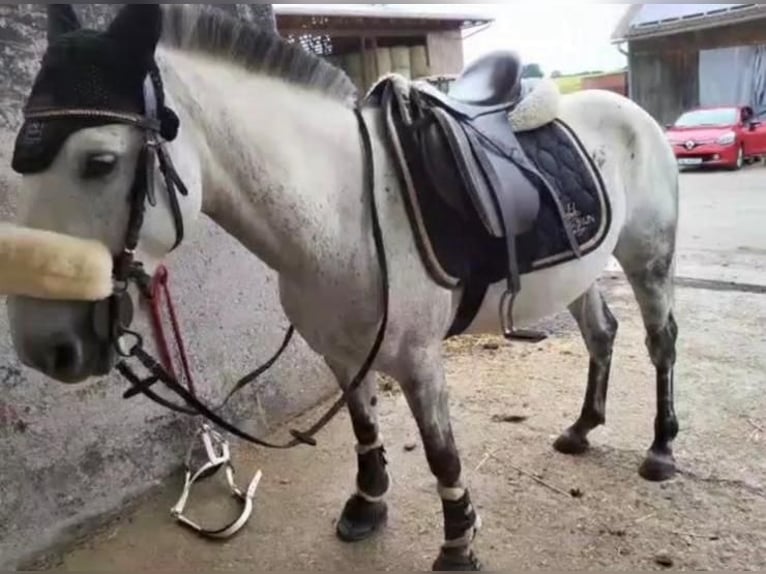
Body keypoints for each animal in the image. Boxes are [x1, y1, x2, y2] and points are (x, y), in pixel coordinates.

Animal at [3, 5, 680, 571]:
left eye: (99, 162)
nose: (44, 347)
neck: (342, 207)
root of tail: (627, 111)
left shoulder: (419, 360)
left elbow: (441, 453)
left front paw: (458, 543)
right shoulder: (339, 351)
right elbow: (362, 427)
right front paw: (367, 505)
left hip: (649, 257)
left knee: (660, 341)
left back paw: (661, 450)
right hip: (581, 270)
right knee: (601, 335)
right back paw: (582, 428)